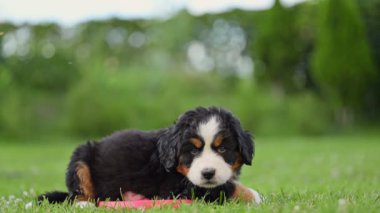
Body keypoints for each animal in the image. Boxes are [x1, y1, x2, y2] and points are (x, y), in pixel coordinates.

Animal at [39, 107, 262, 206]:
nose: (208, 173)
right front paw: (254, 196)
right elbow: (226, 189)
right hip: (80, 158)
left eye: (222, 149)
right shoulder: (178, 187)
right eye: (192, 151)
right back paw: (85, 203)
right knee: (78, 194)